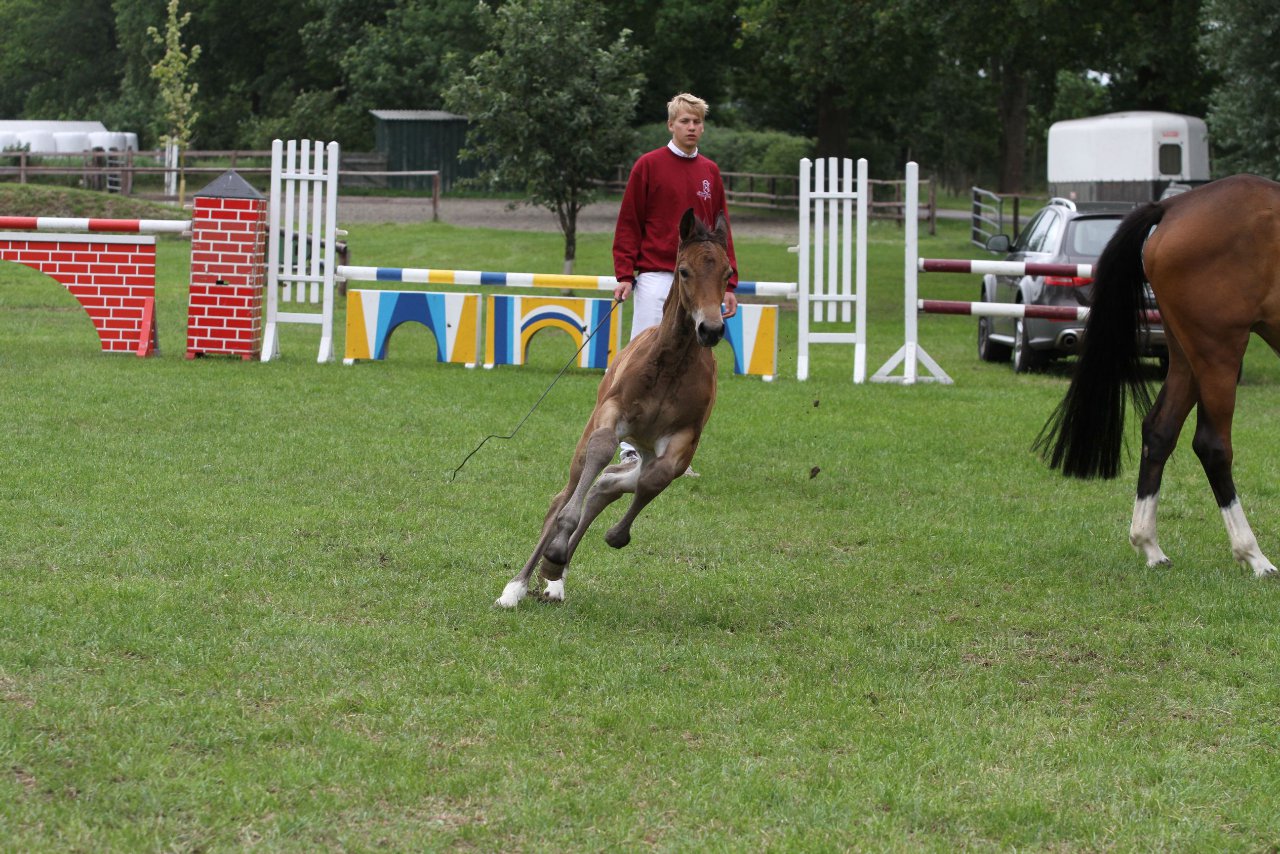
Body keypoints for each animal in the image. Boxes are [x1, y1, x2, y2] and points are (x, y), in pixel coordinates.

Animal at [496, 209, 732, 604]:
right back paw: (518, 585)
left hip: (648, 447)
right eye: (684, 271)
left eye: (728, 273)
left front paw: (592, 545)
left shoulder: (683, 441)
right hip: (592, 433)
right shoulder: (612, 414)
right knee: (564, 496)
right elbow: (600, 454)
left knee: (608, 484)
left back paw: (556, 576)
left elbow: (653, 480)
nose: (711, 329)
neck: (671, 365)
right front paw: (551, 557)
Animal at [1034, 174, 1274, 573]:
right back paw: (1253, 555)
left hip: (1186, 355)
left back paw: (1149, 545)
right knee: (1212, 446)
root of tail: (1175, 206)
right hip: (1218, 352)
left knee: (1160, 430)